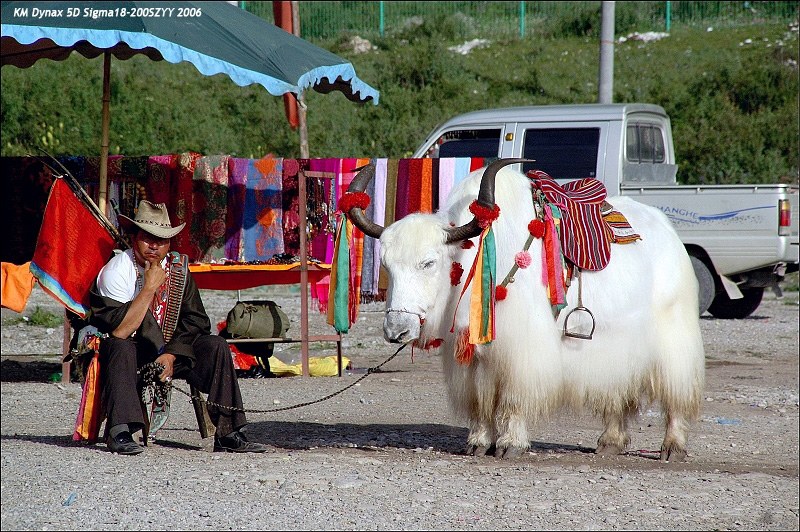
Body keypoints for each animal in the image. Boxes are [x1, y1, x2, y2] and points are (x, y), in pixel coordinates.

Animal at [344, 158, 705, 461]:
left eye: (429, 263)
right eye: (387, 265)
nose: (396, 331)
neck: (473, 257)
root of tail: (668, 230)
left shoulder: (521, 350)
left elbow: (513, 398)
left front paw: (509, 445)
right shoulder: (473, 356)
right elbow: (479, 401)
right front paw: (478, 443)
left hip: (673, 334)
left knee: (676, 392)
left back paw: (672, 448)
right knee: (621, 391)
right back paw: (610, 443)